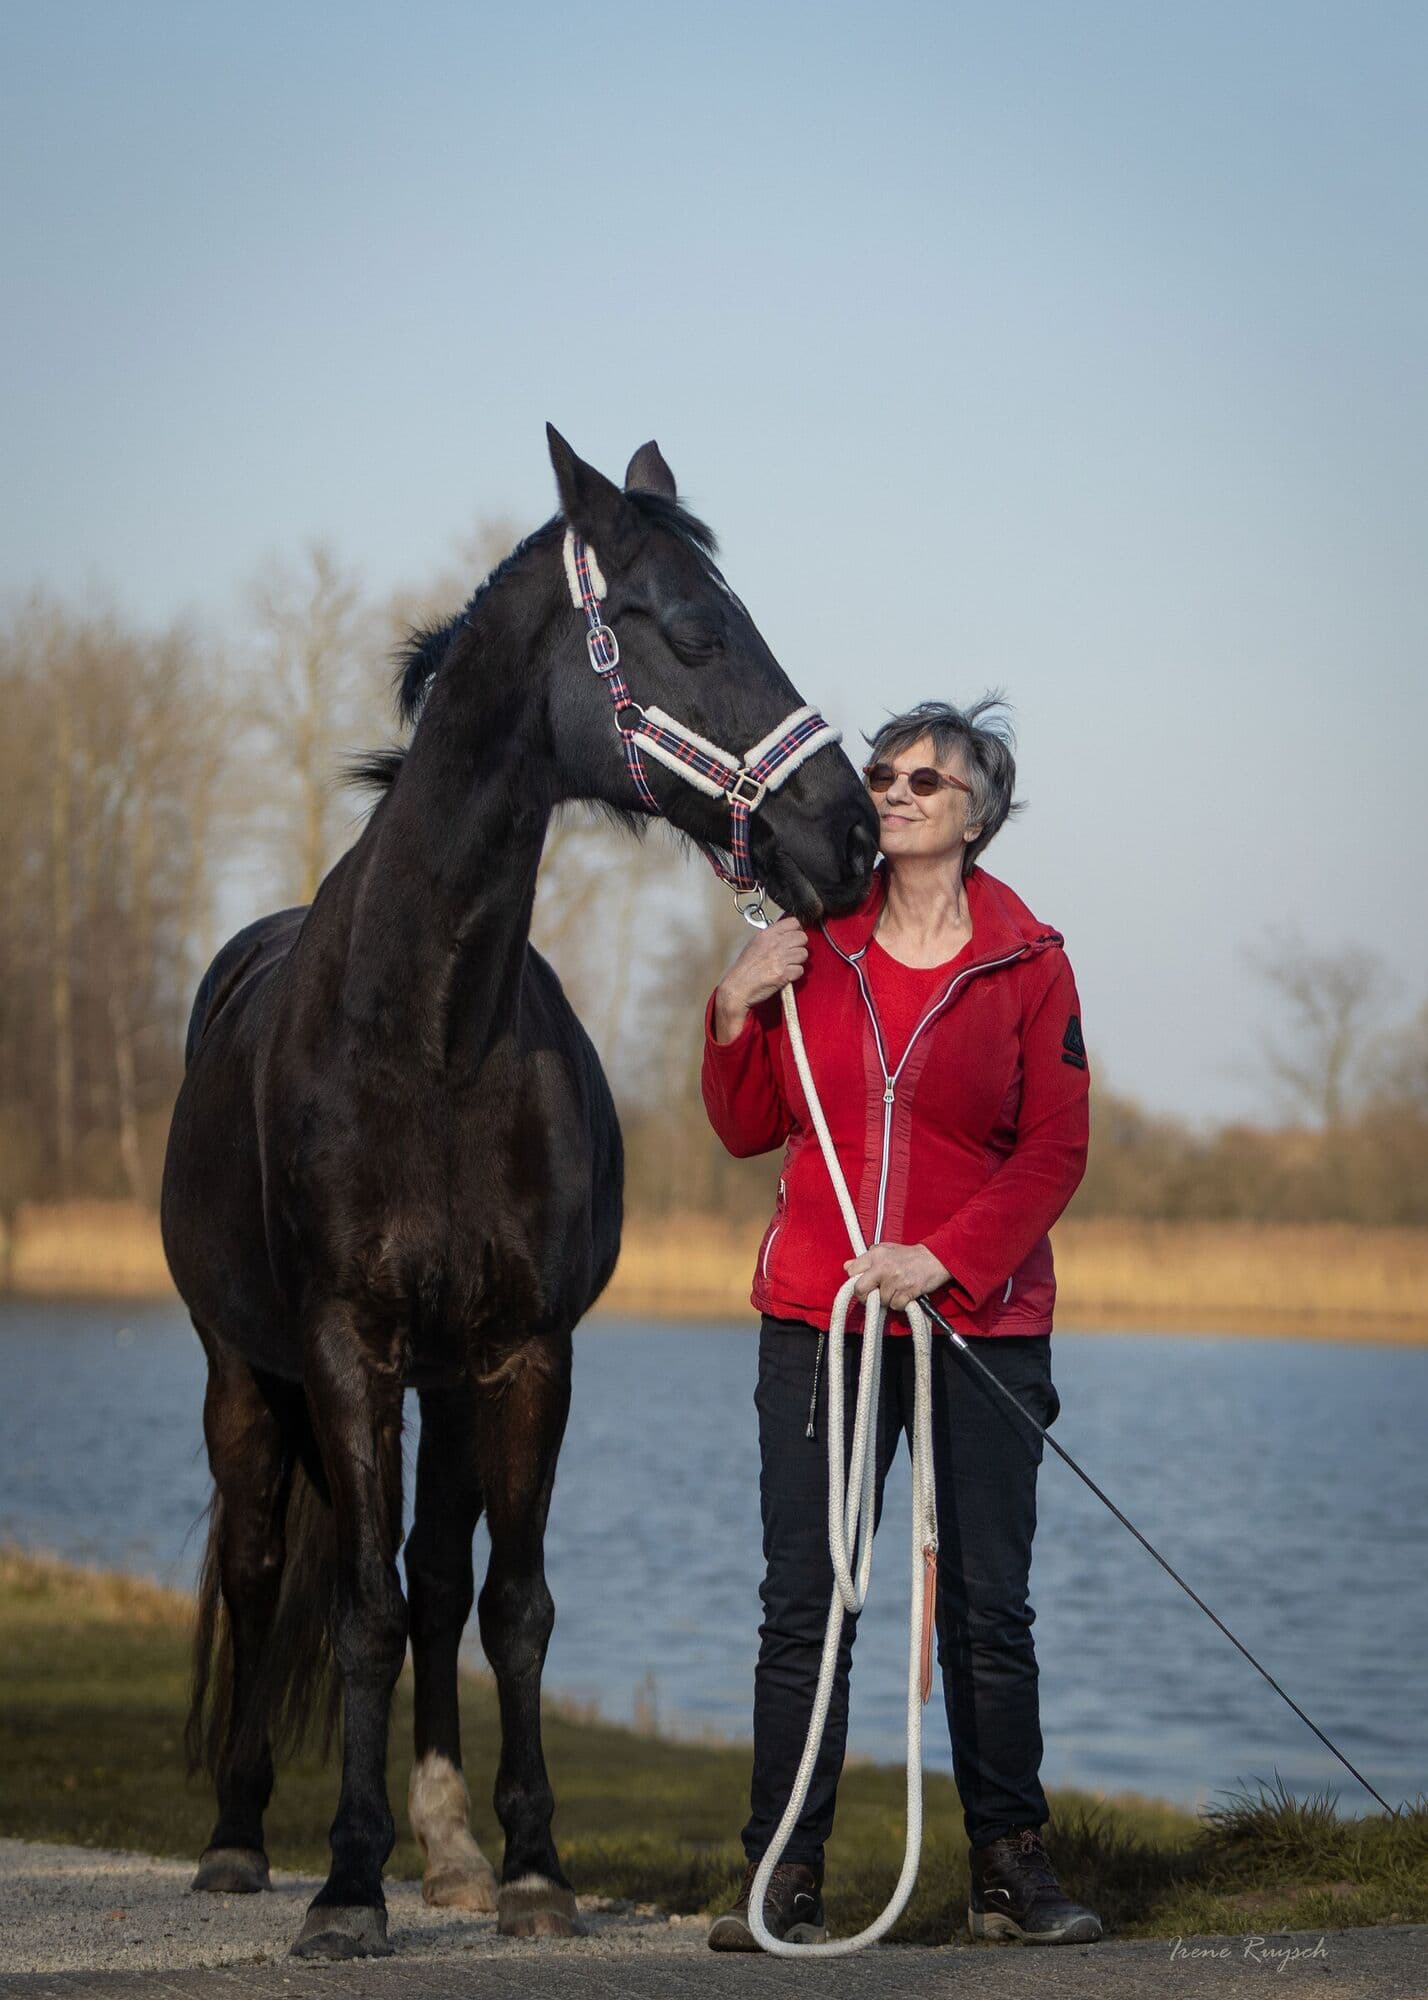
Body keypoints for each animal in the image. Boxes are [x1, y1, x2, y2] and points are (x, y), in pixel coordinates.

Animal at [159, 427, 879, 1959]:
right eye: (697, 630)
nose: (846, 834)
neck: (428, 1032)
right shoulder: (346, 1351)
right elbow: (362, 1611)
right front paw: (345, 1886)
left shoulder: (523, 1353)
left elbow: (514, 1607)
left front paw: (533, 1867)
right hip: (246, 1375)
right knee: (259, 1568)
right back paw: (243, 1837)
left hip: (442, 1378)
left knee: (440, 1575)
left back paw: (447, 1848)